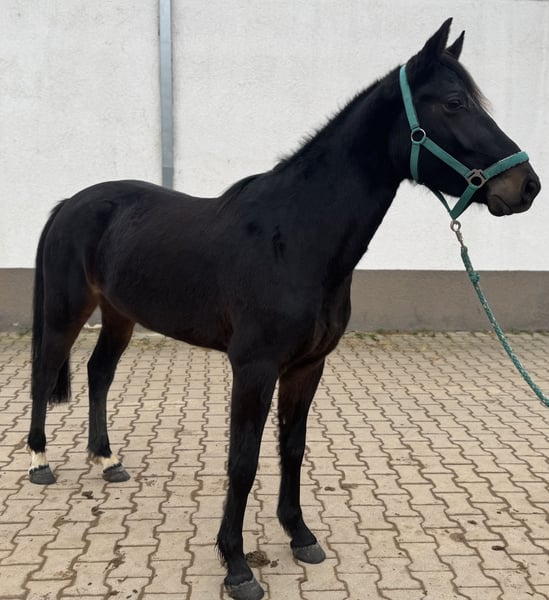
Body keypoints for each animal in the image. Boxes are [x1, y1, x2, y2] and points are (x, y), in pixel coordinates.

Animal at [27, 19, 540, 600]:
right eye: (455, 102)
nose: (526, 185)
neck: (295, 237)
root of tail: (69, 204)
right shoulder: (254, 369)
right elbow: (243, 460)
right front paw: (236, 563)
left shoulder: (307, 367)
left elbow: (292, 448)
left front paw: (300, 534)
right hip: (66, 311)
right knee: (44, 371)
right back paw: (39, 460)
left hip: (119, 314)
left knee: (99, 372)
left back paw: (107, 459)